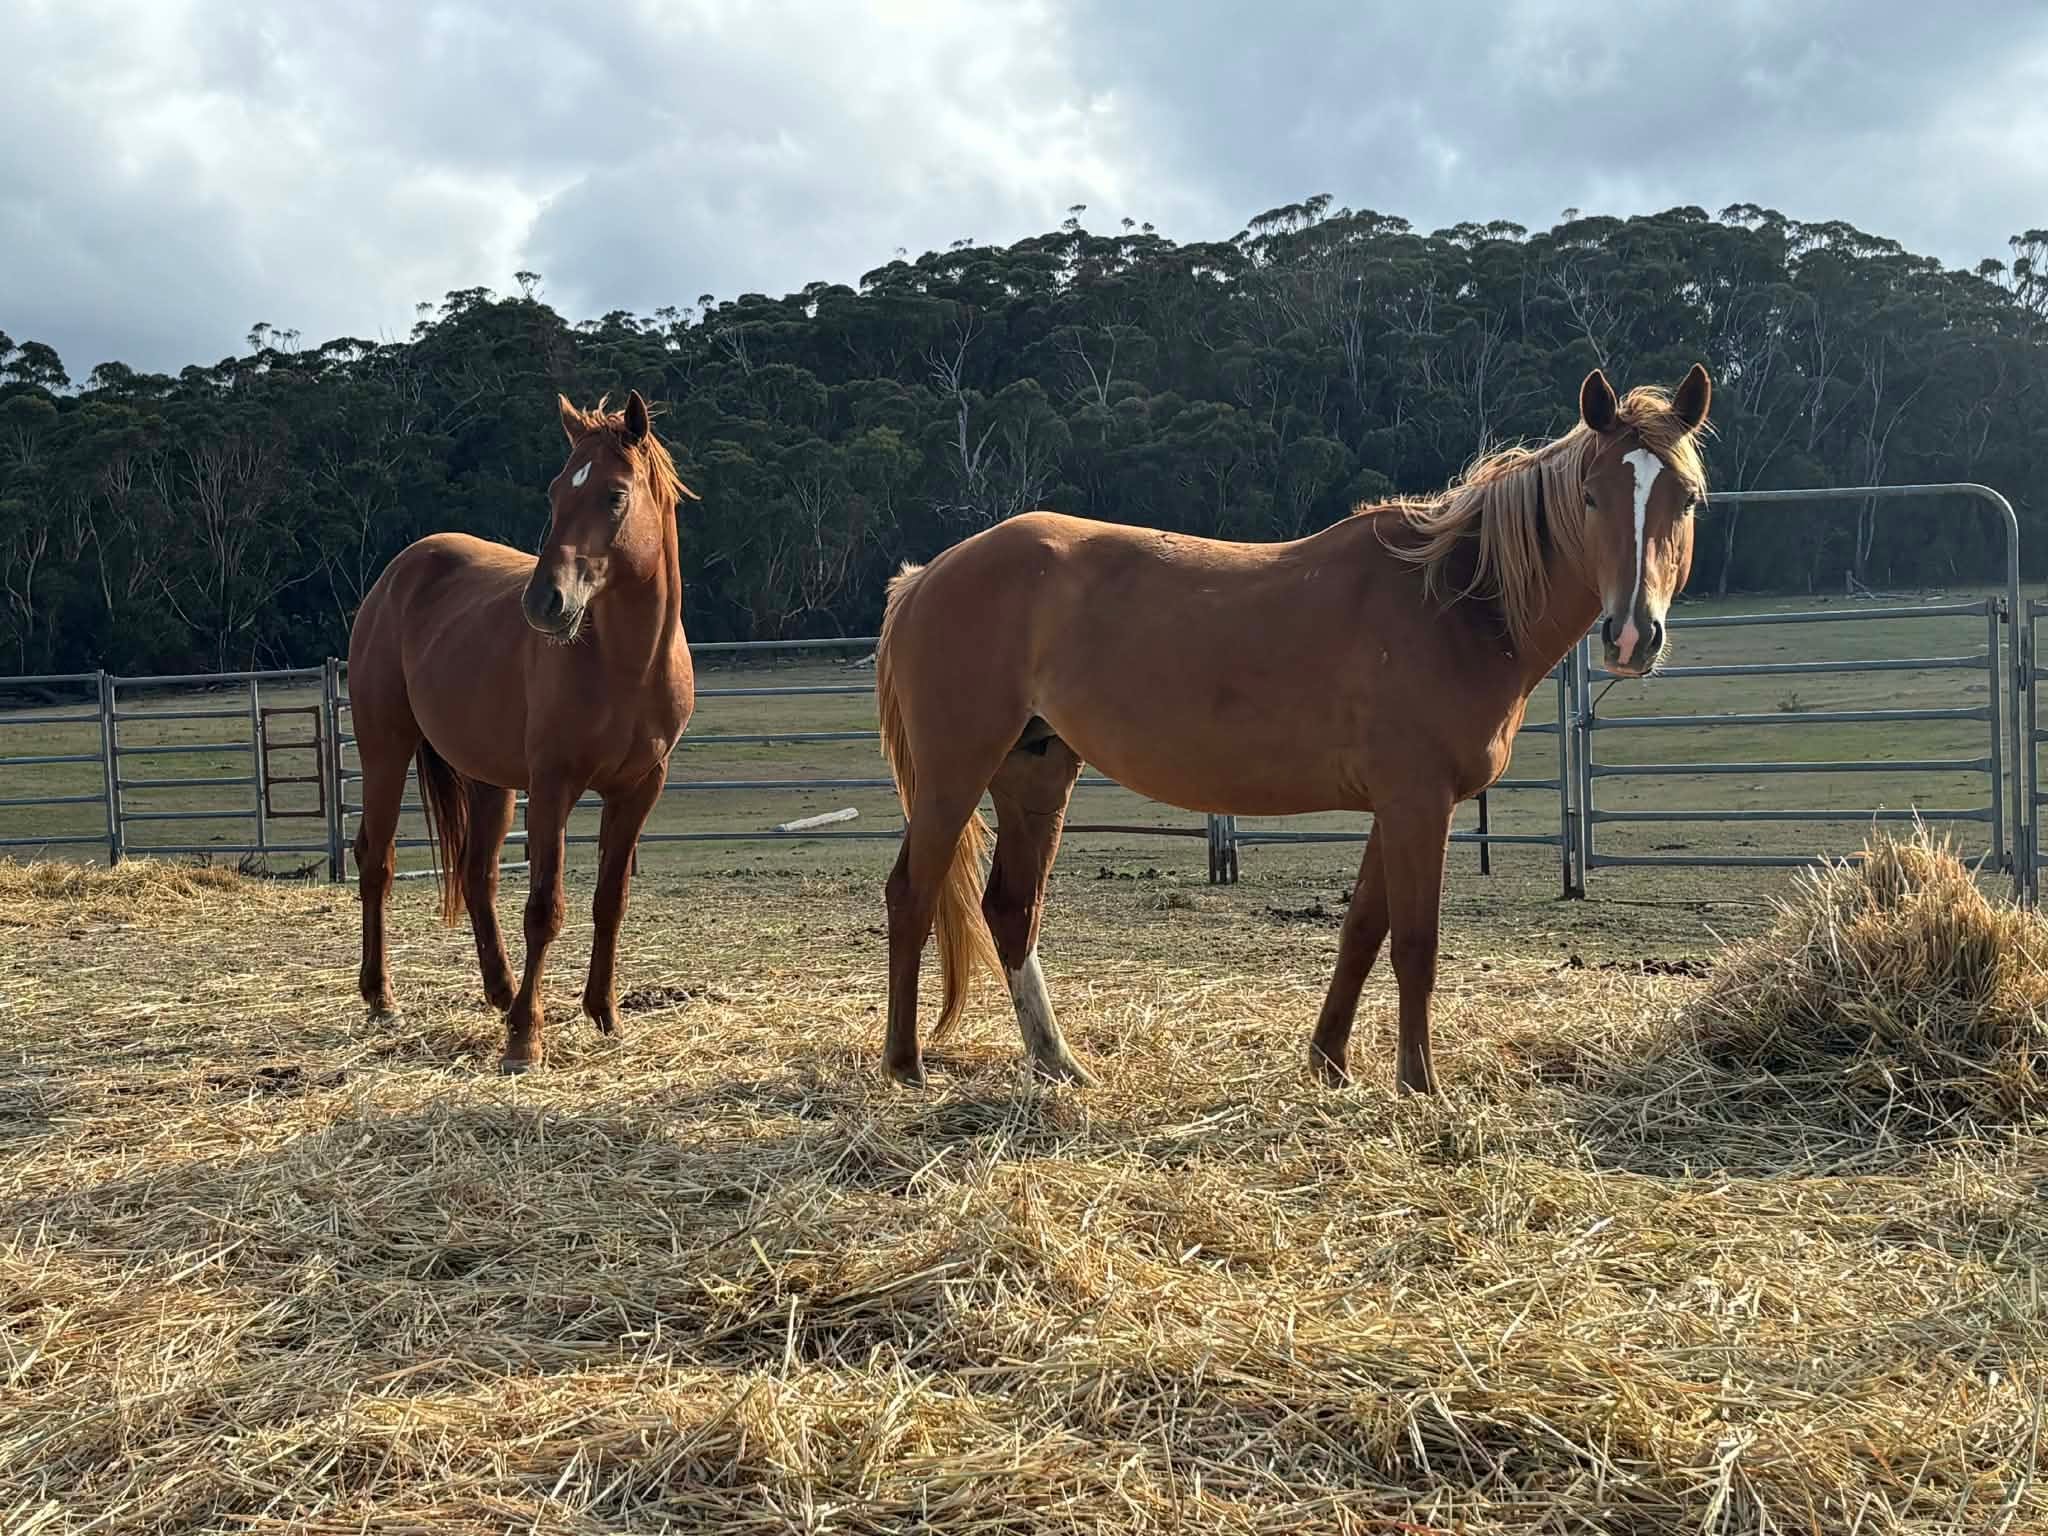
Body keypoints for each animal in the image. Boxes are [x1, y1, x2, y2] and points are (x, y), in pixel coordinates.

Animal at [346, 389, 698, 1073]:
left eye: (615, 495)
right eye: (556, 491)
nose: (543, 604)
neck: (628, 664)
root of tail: (398, 573)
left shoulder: (640, 788)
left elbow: (609, 902)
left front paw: (604, 1015)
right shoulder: (553, 786)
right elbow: (544, 908)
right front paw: (524, 1040)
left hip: (490, 780)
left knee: (477, 876)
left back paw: (502, 991)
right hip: (385, 752)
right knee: (376, 862)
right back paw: (382, 997)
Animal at [873, 364, 1711, 1094]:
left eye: (1688, 499)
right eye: (1591, 495)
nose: (1631, 636)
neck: (1453, 605)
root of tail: (927, 575)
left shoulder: (1398, 808)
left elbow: (1362, 932)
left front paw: (1329, 1063)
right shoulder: (1419, 803)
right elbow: (1416, 944)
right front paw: (1419, 1084)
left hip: (1037, 772)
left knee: (1011, 911)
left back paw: (1059, 1065)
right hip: (955, 773)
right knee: (912, 895)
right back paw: (906, 1065)